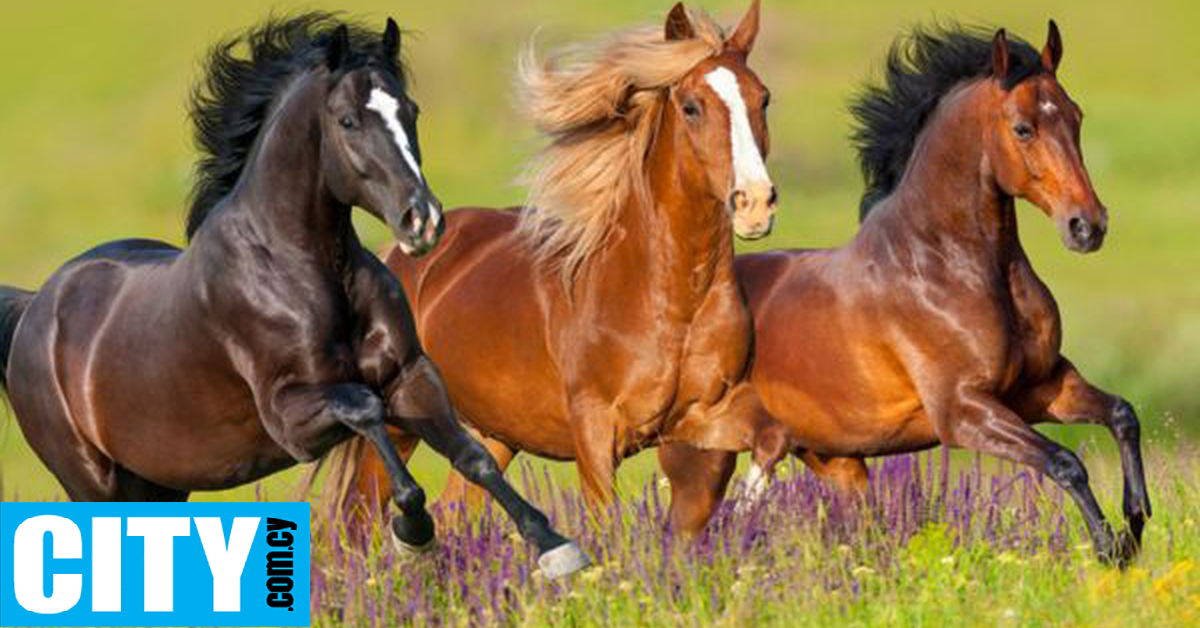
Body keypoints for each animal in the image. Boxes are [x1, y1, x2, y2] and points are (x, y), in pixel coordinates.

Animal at [0, 12, 585, 578]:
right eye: (347, 120)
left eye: (411, 110)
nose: (422, 221)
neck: (302, 269)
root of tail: (34, 308)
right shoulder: (291, 420)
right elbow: (367, 409)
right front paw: (413, 533)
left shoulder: (411, 376)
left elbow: (472, 456)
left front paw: (555, 548)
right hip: (96, 482)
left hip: (157, 484)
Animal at [331, 2, 777, 518]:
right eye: (691, 107)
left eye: (763, 99)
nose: (755, 203)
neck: (670, 298)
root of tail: (398, 257)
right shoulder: (596, 433)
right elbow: (607, 522)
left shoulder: (707, 414)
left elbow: (767, 439)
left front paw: (744, 510)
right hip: (399, 424)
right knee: (354, 519)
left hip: (493, 433)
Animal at [662, 23, 1147, 564]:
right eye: (1024, 128)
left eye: (1075, 116)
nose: (1088, 226)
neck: (945, 265)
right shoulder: (963, 412)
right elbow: (1065, 462)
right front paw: (1111, 549)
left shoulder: (1040, 387)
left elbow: (1122, 415)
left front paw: (1135, 521)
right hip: (703, 460)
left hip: (834, 462)